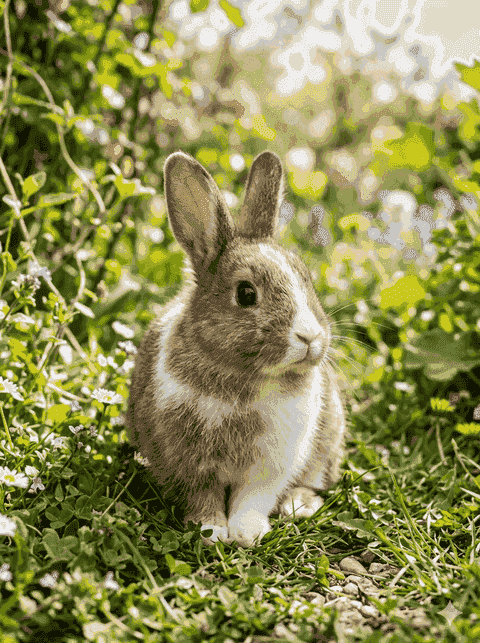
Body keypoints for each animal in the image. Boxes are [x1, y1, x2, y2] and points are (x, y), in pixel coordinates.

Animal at [126, 150, 346, 547]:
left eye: (306, 279)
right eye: (245, 294)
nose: (310, 337)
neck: (244, 376)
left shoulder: (272, 463)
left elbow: (253, 497)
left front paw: (247, 532)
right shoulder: (188, 461)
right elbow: (202, 496)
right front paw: (211, 530)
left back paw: (298, 505)